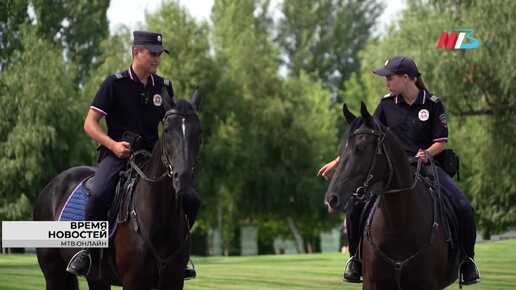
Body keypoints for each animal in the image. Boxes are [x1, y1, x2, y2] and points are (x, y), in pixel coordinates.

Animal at [33, 89, 203, 290]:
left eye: (199, 131)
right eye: (167, 130)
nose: (182, 178)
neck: (160, 218)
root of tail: (53, 185)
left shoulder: (174, 281)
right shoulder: (133, 282)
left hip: (97, 279)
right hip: (53, 272)